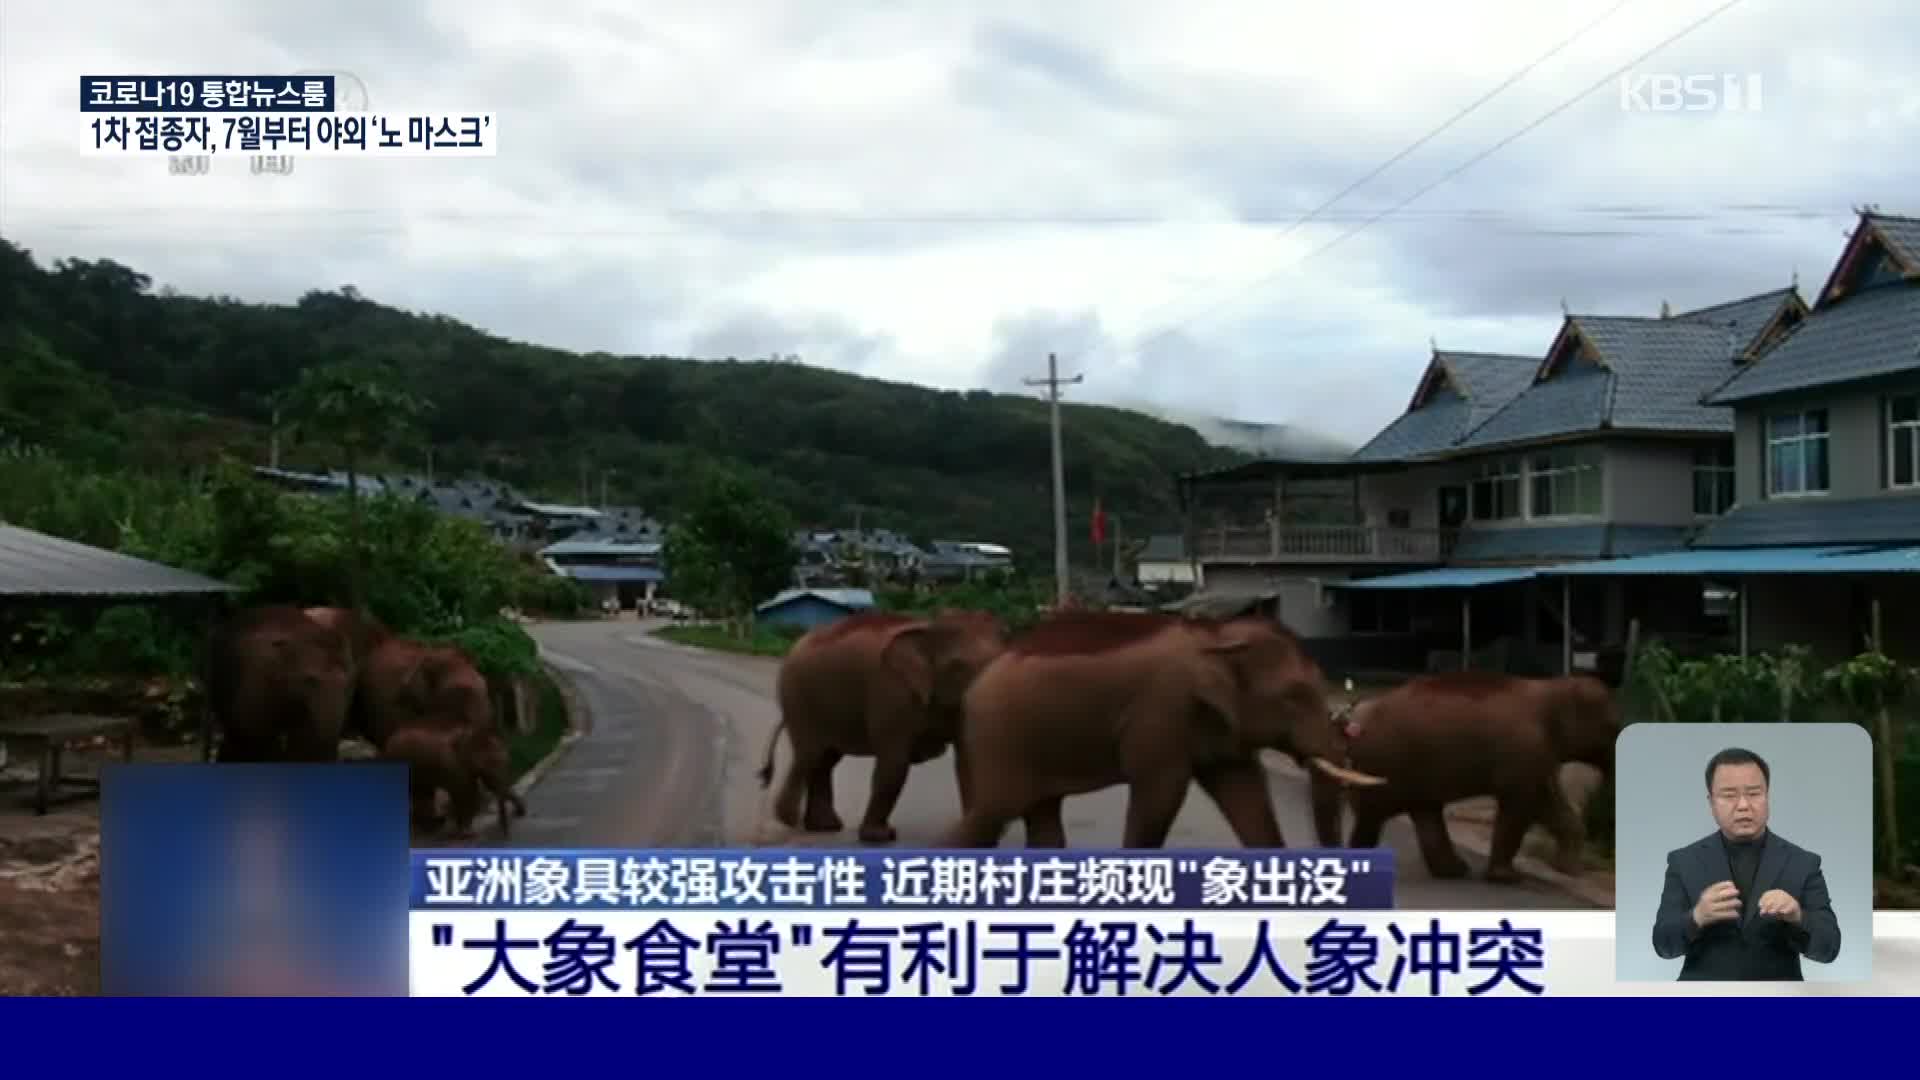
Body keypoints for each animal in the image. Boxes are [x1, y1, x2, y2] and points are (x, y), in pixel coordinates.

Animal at [382, 722, 526, 841]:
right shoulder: (453, 768)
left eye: (507, 761)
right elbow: (464, 793)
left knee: (424, 793)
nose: (506, 837)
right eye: (487, 764)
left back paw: (432, 826)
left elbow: (475, 791)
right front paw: (466, 833)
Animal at [760, 607, 1013, 841]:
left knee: (825, 760)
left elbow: (968, 759)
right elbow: (894, 763)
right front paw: (879, 836)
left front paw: (970, 838)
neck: (928, 629)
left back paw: (823, 826)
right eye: (958, 666)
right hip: (798, 696)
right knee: (810, 755)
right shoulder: (892, 693)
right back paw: (789, 819)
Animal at [929, 607, 1382, 849]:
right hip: (999, 739)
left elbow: (1245, 792)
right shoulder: (1161, 711)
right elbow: (1160, 795)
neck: (1215, 634)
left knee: (1041, 816)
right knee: (991, 814)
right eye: (1293, 697)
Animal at [1305, 668, 1620, 880]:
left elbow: (1548, 804)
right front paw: (1506, 877)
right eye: (1613, 727)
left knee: (1425, 814)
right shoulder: (1524, 750)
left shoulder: (1539, 755)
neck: (1553, 688)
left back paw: (1454, 871)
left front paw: (1570, 870)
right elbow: (1523, 804)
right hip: (1384, 765)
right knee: (1375, 817)